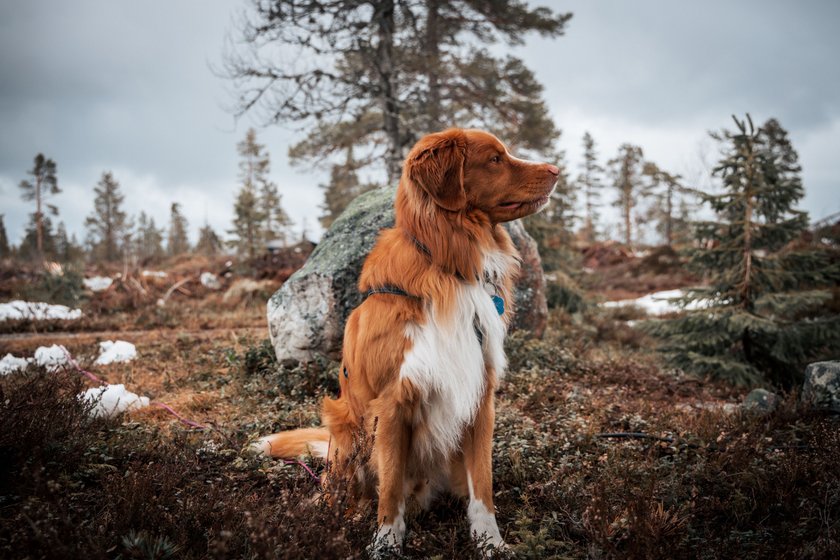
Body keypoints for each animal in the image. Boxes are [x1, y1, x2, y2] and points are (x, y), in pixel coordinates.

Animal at [253, 127, 560, 552]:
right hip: (345, 430)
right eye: (495, 158)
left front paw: (491, 544)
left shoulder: (481, 397)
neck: (449, 266)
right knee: (346, 494)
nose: (557, 170)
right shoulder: (391, 404)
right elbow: (390, 488)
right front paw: (385, 544)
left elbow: (483, 487)